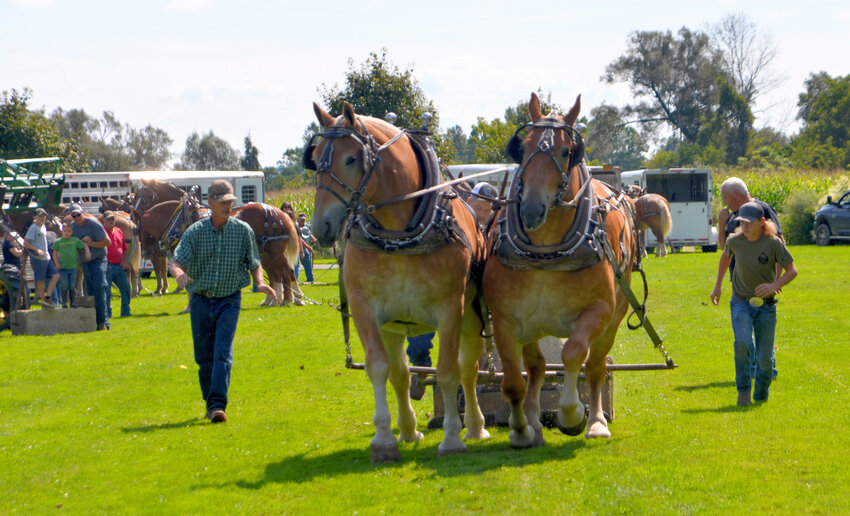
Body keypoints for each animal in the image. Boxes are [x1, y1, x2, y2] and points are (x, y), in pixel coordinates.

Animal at [484, 93, 636, 448]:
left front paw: (572, 414)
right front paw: (522, 429)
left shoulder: (598, 312)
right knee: (537, 367)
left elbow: (573, 354)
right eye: (523, 147)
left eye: (567, 151)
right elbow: (514, 380)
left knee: (595, 365)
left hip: (615, 316)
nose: (531, 209)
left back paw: (596, 422)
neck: (546, 253)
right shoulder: (506, 320)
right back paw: (535, 421)